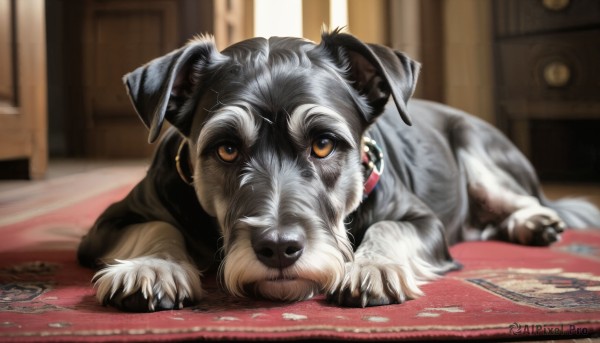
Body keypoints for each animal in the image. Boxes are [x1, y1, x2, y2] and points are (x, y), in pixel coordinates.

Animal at [76, 30, 600, 314]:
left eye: (324, 143)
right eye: (226, 149)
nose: (279, 248)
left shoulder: (422, 219)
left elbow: (389, 227)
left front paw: (372, 267)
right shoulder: (109, 221)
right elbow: (156, 226)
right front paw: (151, 267)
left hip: (476, 146)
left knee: (518, 198)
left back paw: (535, 220)